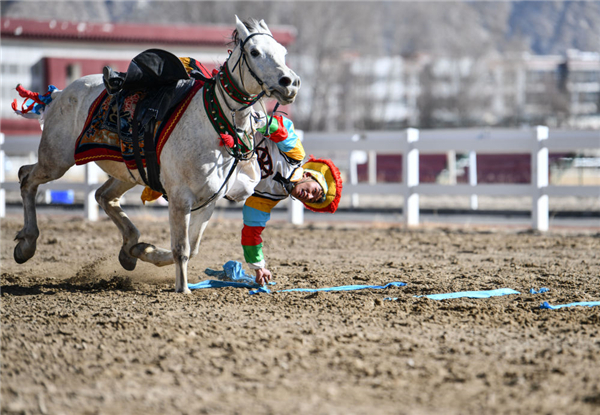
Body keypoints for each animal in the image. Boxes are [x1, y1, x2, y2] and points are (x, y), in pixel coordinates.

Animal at [15, 17, 300, 292]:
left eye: (283, 51)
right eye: (255, 52)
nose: (290, 83)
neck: (212, 121)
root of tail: (60, 94)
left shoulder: (209, 199)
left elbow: (192, 248)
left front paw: (145, 251)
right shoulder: (180, 198)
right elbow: (182, 248)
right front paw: (182, 289)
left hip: (127, 172)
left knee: (103, 196)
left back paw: (130, 249)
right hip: (56, 160)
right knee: (26, 177)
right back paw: (26, 244)